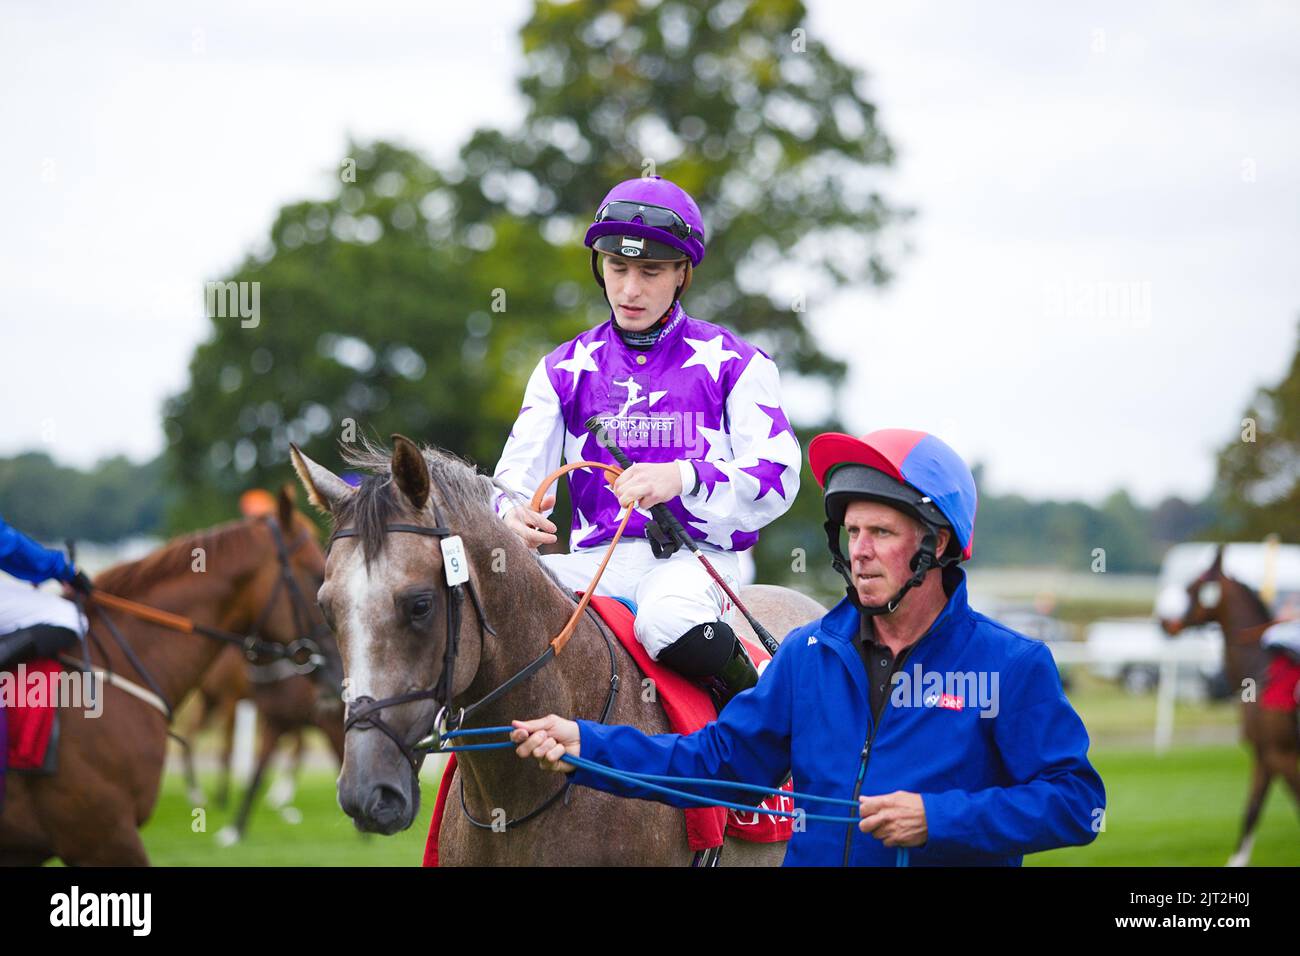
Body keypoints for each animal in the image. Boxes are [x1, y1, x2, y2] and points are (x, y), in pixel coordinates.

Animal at [1164, 546, 1300, 868]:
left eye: (1192, 588)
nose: (1166, 623)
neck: (1259, 670)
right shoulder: (1265, 755)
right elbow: (1251, 811)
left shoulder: (1282, 754)